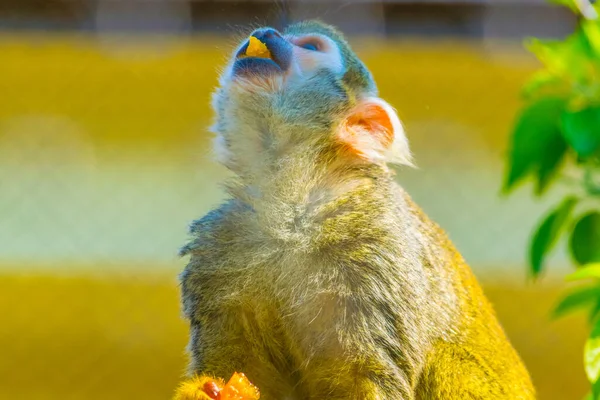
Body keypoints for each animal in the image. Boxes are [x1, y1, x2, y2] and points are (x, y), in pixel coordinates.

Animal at [178, 20, 536, 398]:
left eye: (311, 47)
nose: (265, 33)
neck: (295, 206)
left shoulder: (379, 246)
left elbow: (368, 372)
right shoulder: (221, 242)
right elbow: (242, 369)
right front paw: (209, 390)